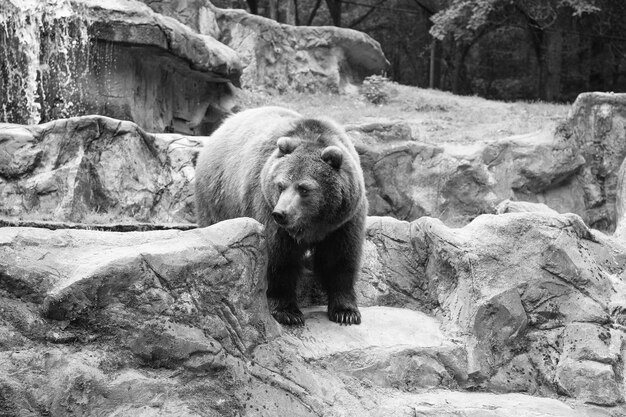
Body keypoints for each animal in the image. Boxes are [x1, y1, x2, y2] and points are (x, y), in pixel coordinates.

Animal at [195, 106, 366, 324]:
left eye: (303, 188)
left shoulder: (344, 220)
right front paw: (288, 312)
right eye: (281, 185)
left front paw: (346, 312)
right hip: (216, 198)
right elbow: (279, 257)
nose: (281, 213)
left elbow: (340, 257)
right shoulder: (265, 206)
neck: (315, 224)